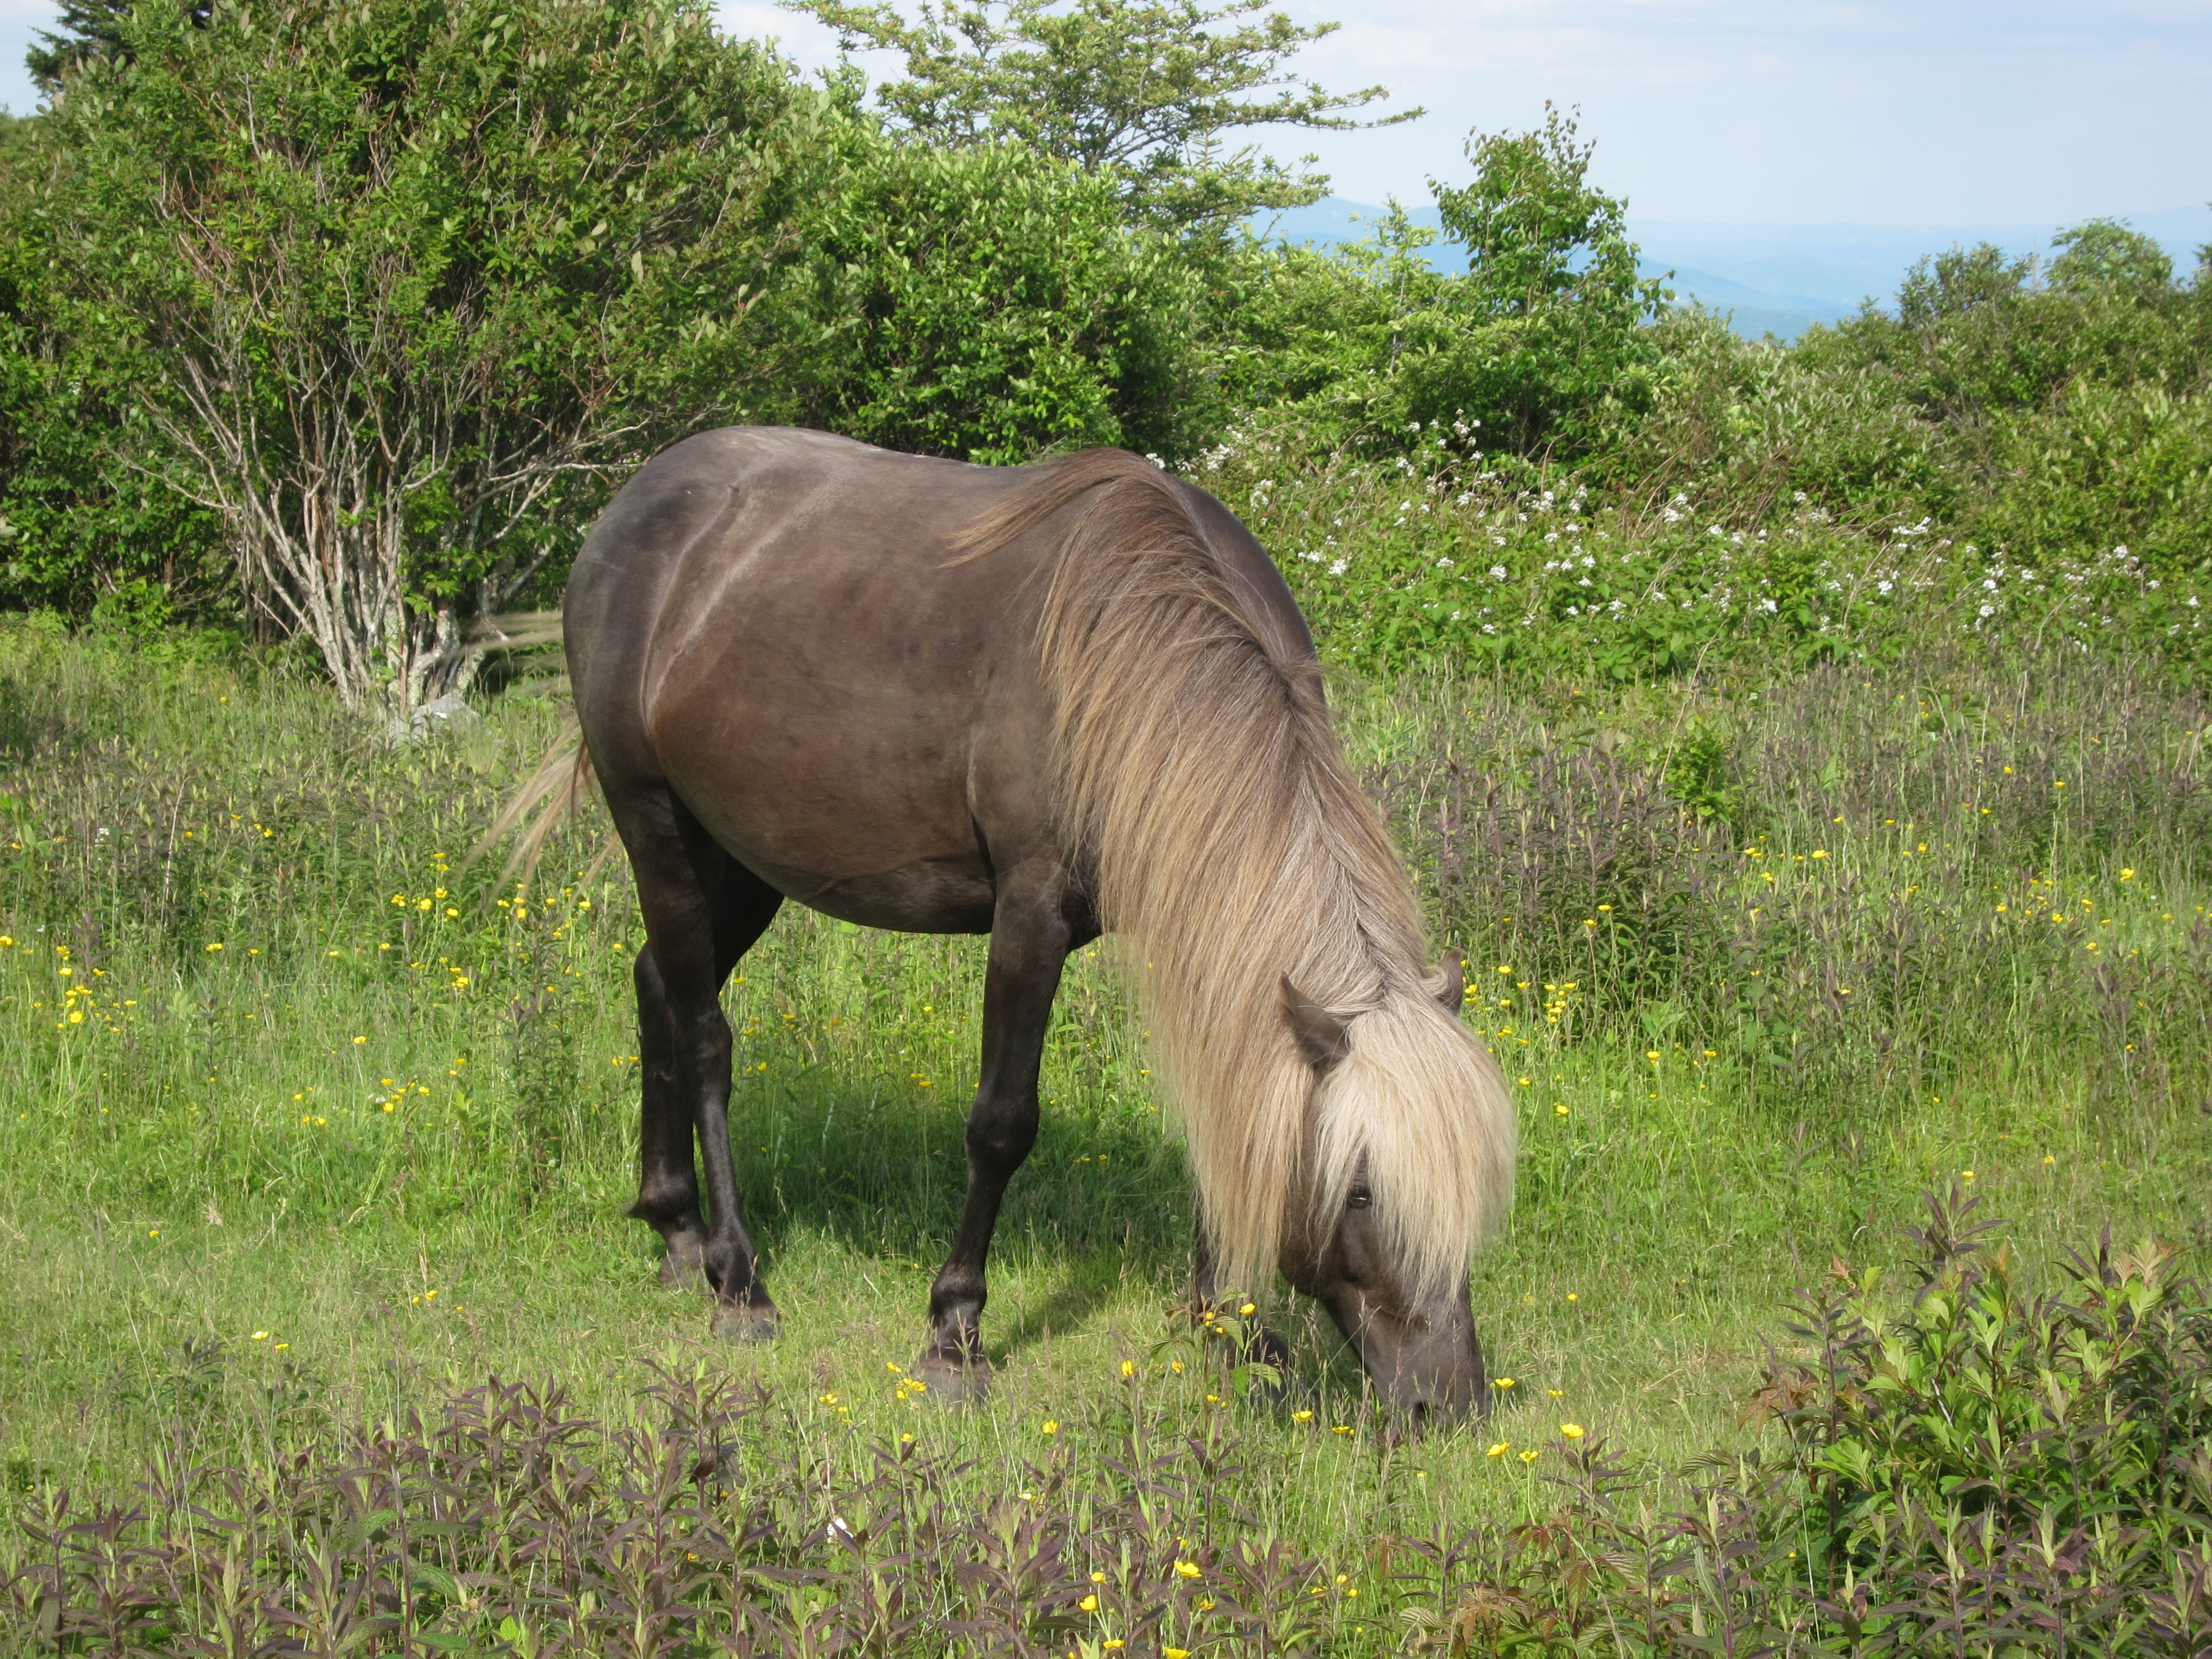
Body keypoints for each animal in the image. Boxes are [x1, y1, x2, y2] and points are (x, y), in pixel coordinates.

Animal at [514, 426, 1516, 1419]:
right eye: (1363, 1194)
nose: (1450, 1401)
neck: (1142, 650)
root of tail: (636, 504)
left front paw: (1228, 1331)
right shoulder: (1030, 914)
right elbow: (1001, 1125)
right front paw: (955, 1334)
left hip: (743, 859)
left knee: (657, 984)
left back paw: (676, 1229)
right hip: (657, 826)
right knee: (705, 1039)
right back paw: (736, 1278)